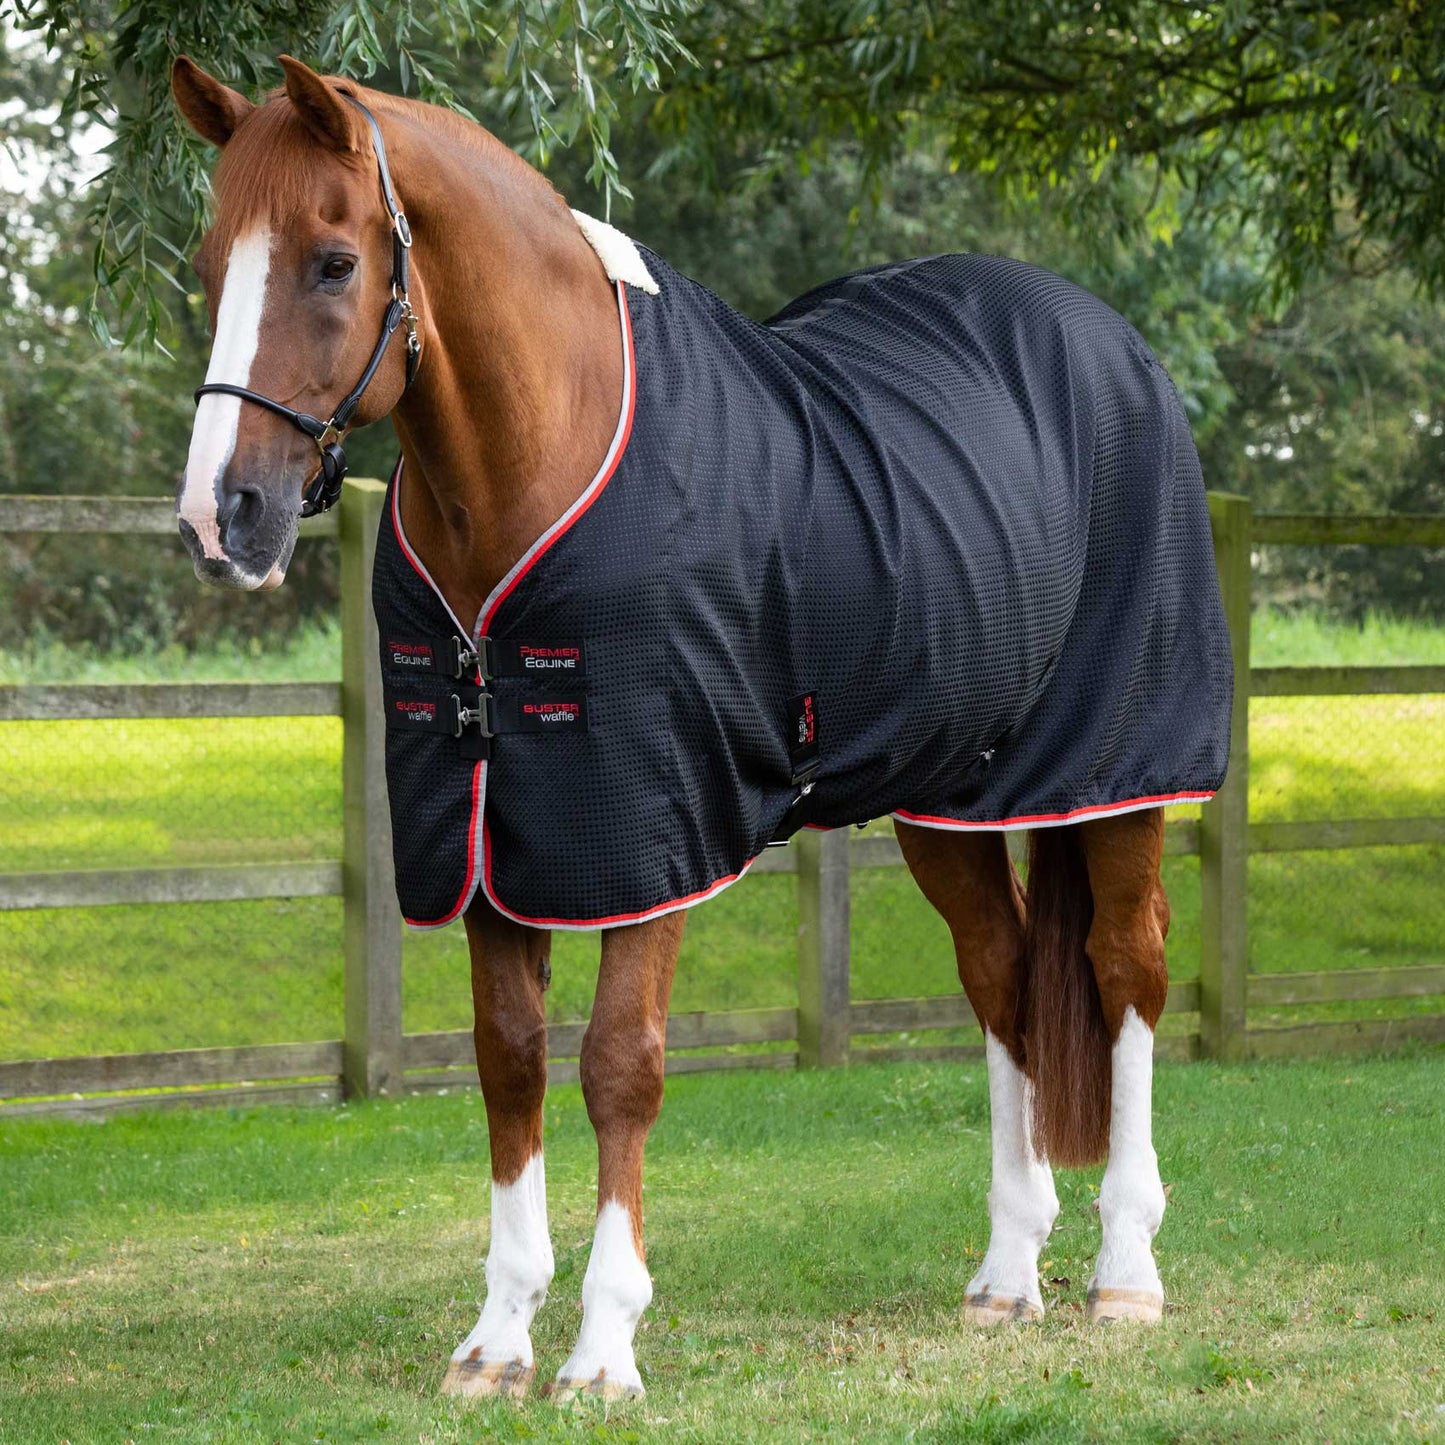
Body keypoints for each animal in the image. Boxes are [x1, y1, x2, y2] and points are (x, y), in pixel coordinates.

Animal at [170, 55, 1231, 1401]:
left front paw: (602, 1346)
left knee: (1124, 967)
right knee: (999, 975)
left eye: (331, 261)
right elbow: (508, 1057)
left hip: (1115, 769)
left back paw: (1123, 1270)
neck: (547, 453)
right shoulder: (487, 833)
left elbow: (618, 1062)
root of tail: (1109, 342)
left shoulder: (645, 825)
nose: (223, 515)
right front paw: (496, 1338)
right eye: (208, 263)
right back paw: (1005, 1272)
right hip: (948, 791)